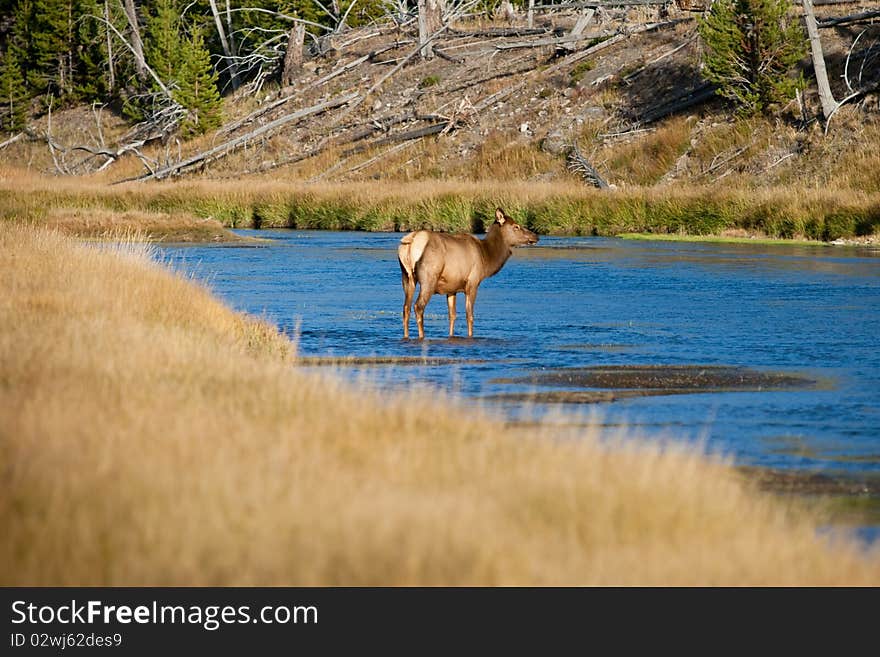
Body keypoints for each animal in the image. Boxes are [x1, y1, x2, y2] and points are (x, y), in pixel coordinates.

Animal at [398, 206, 536, 340]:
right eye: (516, 226)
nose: (535, 236)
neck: (487, 257)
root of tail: (410, 242)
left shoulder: (451, 289)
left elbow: (452, 315)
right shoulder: (472, 283)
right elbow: (469, 315)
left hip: (407, 277)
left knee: (406, 308)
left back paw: (406, 336)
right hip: (428, 279)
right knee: (418, 307)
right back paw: (422, 336)